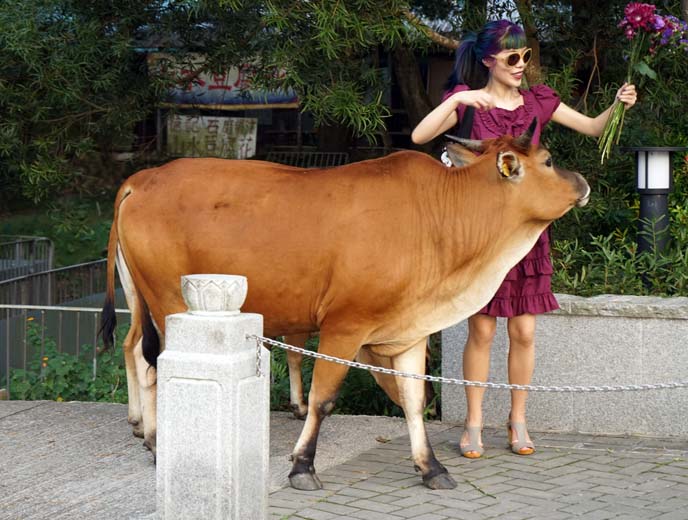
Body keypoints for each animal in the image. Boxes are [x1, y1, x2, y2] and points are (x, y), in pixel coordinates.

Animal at [99, 120, 588, 490]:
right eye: (548, 161)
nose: (582, 182)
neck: (441, 216)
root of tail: (144, 179)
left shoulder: (407, 333)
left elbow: (412, 401)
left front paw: (431, 467)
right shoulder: (344, 327)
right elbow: (322, 400)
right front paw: (302, 466)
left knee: (135, 351)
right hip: (167, 305)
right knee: (152, 366)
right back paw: (158, 442)